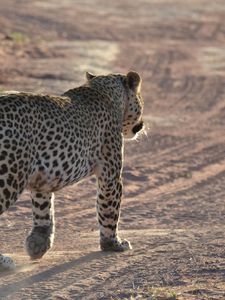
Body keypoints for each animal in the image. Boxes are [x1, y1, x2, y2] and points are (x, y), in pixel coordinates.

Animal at [0, 71, 144, 270]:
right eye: (141, 99)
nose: (142, 124)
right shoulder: (111, 175)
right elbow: (109, 210)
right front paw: (113, 244)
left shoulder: (42, 179)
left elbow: (43, 210)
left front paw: (38, 244)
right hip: (10, 177)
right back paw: (4, 262)